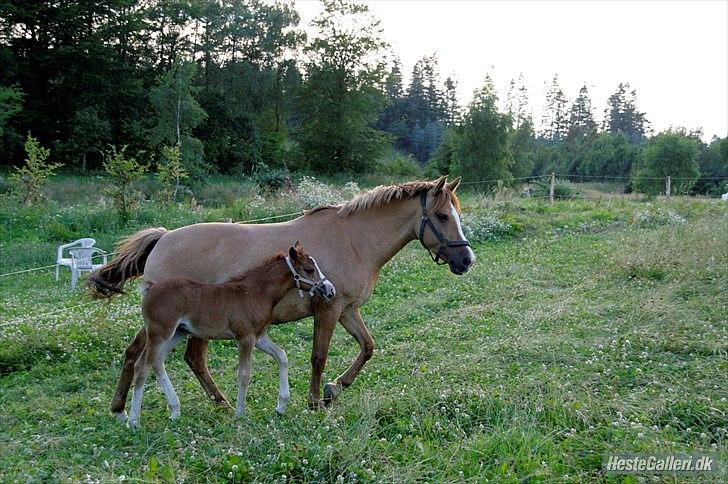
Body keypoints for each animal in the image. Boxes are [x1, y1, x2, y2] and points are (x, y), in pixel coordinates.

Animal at [126, 244, 336, 430]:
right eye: (309, 269)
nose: (330, 290)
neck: (255, 292)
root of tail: (149, 291)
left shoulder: (259, 336)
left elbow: (281, 356)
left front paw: (282, 404)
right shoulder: (245, 338)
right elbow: (244, 374)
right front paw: (240, 413)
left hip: (177, 333)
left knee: (157, 362)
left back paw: (175, 410)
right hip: (159, 333)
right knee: (142, 366)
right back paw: (133, 420)